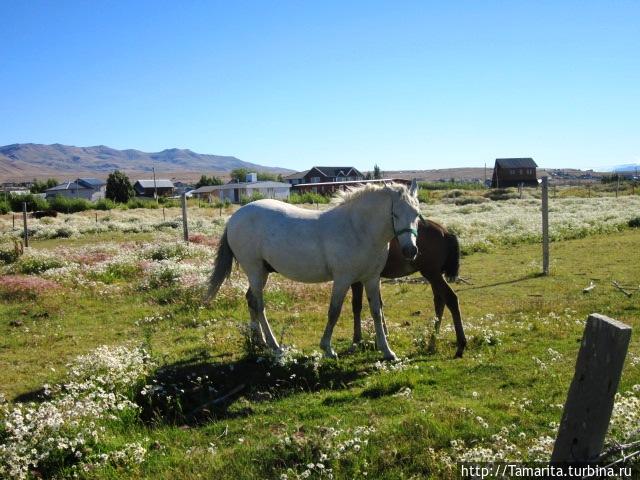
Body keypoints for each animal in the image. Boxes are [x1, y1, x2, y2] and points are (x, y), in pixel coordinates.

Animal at [208, 181, 422, 360]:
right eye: (395, 214)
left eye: (417, 214)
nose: (410, 251)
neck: (357, 229)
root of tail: (234, 218)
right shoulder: (343, 280)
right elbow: (334, 312)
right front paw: (327, 348)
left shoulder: (371, 279)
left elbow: (376, 312)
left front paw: (387, 351)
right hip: (254, 271)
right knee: (259, 305)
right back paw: (275, 345)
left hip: (262, 273)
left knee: (251, 300)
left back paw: (259, 341)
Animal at [350, 219, 464, 358]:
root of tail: (445, 232)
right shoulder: (374, 277)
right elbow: (379, 305)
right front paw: (384, 335)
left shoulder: (357, 278)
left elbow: (357, 306)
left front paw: (356, 341)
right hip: (435, 275)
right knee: (439, 301)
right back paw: (432, 343)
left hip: (431, 273)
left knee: (451, 299)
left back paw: (460, 346)